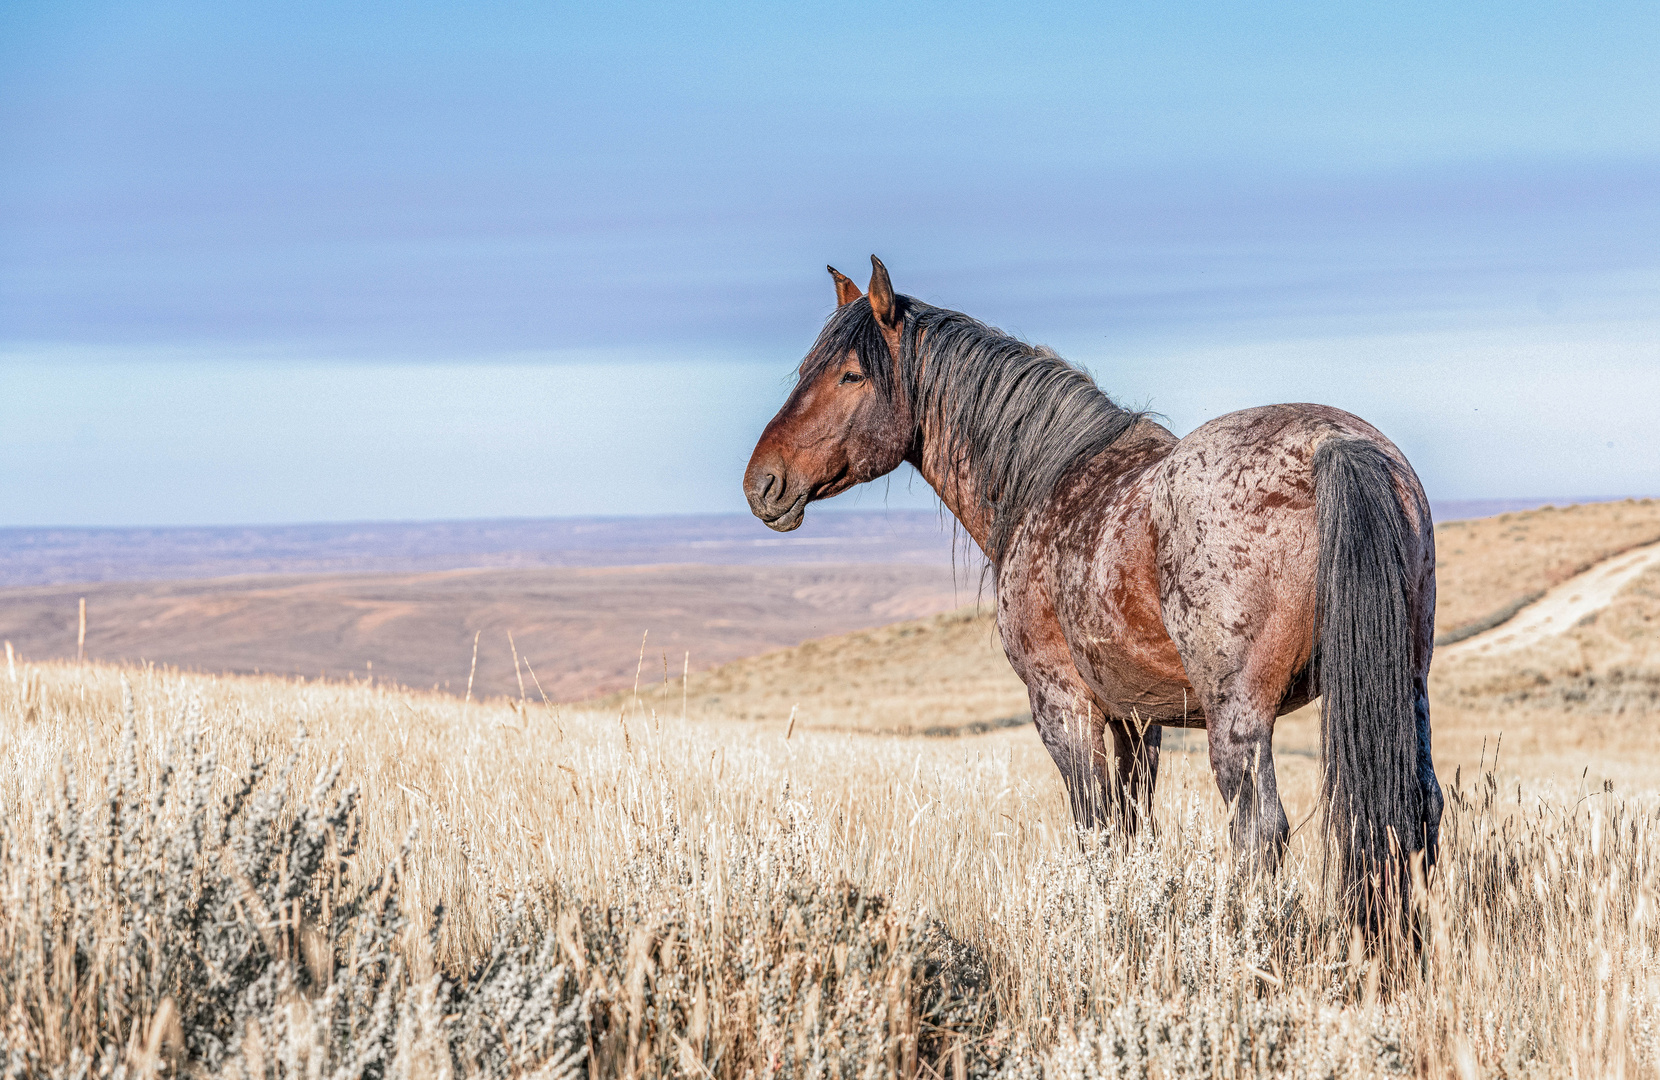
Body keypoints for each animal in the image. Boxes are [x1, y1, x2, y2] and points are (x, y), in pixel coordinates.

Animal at [747, 255, 1447, 922]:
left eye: (851, 375)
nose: (762, 483)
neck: (1045, 479)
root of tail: (1337, 446)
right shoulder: (1138, 720)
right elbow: (1135, 831)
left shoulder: (1066, 709)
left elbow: (1097, 833)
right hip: (1407, 685)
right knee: (1419, 811)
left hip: (1238, 718)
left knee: (1259, 831)